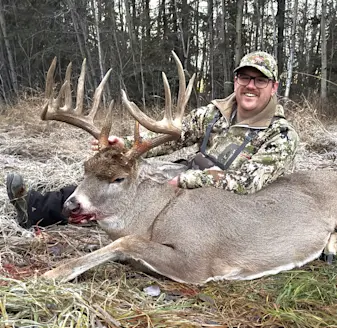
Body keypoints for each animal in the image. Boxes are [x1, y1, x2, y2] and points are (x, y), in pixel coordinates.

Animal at [40, 52, 334, 284]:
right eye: (85, 167)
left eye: (118, 179)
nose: (72, 204)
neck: (158, 215)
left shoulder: (196, 258)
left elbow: (126, 241)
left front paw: (52, 274)